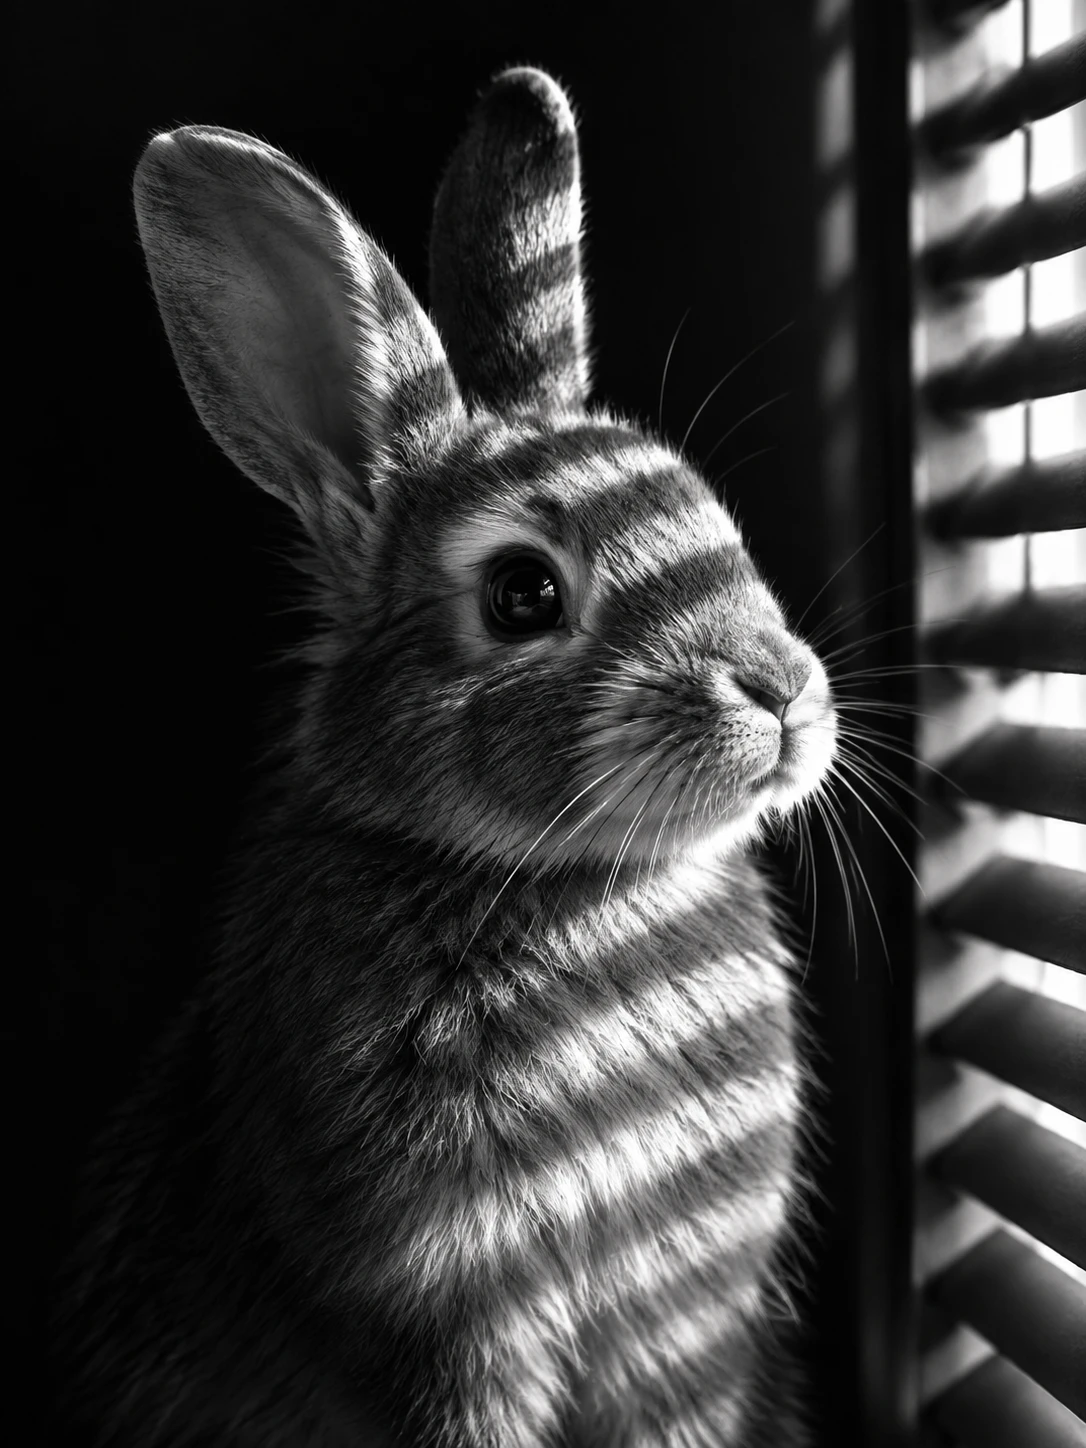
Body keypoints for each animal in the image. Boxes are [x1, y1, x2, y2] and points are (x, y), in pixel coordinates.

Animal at [54, 66, 838, 1448]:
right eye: (523, 594)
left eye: (706, 511)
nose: (782, 689)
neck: (570, 884)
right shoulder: (449, 1323)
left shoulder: (686, 1322)